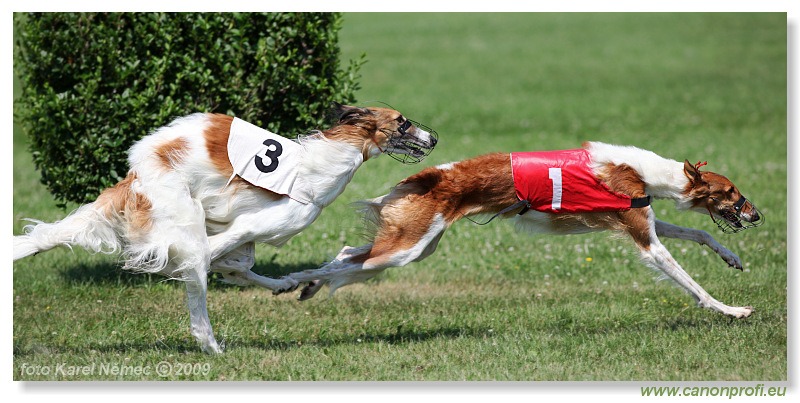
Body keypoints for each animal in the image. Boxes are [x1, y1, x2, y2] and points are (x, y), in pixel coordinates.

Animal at [12, 104, 438, 354]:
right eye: (403, 122)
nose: (434, 137)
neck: (324, 164)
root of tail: (135, 179)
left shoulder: (242, 234)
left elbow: (239, 267)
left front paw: (289, 284)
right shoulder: (248, 227)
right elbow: (214, 263)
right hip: (184, 217)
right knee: (200, 283)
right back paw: (213, 347)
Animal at [280, 142, 764, 322]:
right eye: (730, 192)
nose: (756, 215)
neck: (639, 170)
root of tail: (433, 174)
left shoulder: (642, 218)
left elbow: (700, 234)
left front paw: (733, 258)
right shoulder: (646, 241)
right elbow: (691, 282)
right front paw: (732, 310)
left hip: (417, 243)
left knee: (347, 253)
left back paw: (307, 285)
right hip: (408, 246)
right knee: (341, 265)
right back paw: (298, 282)